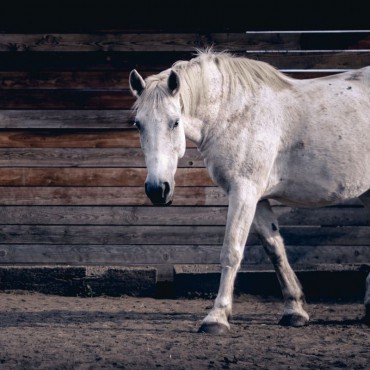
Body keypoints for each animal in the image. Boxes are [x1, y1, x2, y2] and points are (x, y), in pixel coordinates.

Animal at [129, 50, 368, 334]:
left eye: (175, 122)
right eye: (138, 124)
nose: (157, 189)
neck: (234, 113)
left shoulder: (243, 192)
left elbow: (232, 250)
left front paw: (217, 317)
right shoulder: (258, 198)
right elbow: (275, 249)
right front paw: (294, 311)